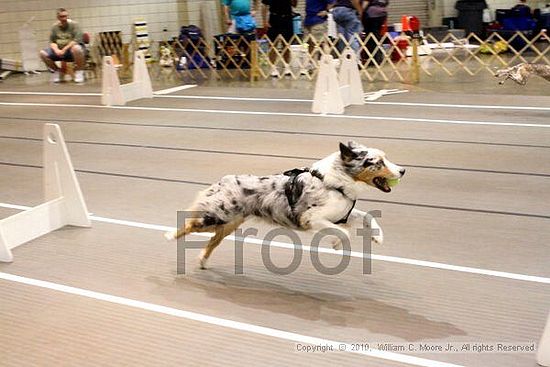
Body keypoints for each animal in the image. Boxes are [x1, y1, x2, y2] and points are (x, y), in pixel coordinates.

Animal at [164, 142, 406, 268]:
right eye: (378, 162)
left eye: (385, 158)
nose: (403, 170)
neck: (336, 183)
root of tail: (224, 181)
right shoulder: (312, 219)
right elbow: (343, 233)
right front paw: (337, 243)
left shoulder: (342, 213)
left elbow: (367, 216)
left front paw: (377, 237)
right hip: (217, 216)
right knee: (190, 225)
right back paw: (169, 236)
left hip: (229, 224)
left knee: (212, 241)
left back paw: (202, 261)